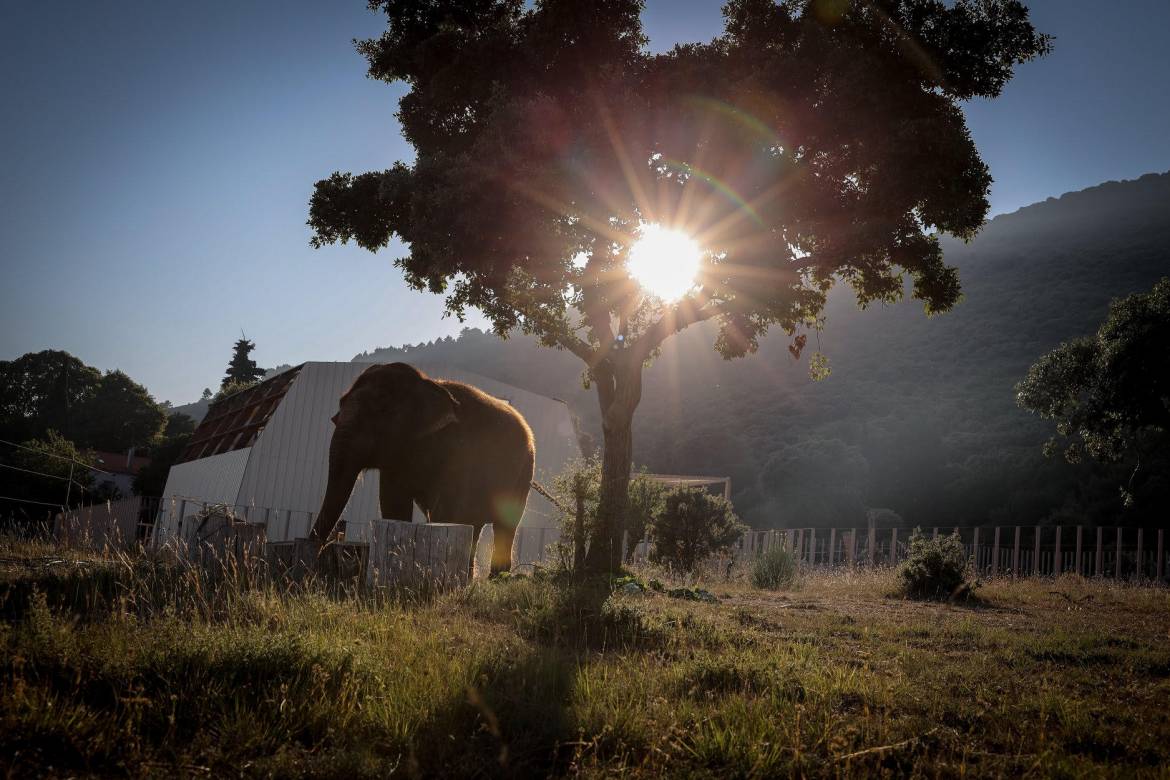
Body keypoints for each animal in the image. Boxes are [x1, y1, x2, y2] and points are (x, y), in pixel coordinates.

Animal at [308, 364, 533, 573]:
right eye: (339, 407)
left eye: (380, 411)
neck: (427, 383)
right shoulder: (396, 462)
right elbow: (393, 504)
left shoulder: (459, 452)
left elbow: (447, 510)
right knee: (473, 526)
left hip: (523, 474)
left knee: (505, 526)